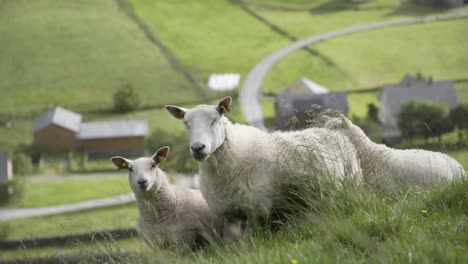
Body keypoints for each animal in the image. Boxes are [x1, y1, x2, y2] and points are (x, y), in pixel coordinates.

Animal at [165, 98, 362, 228]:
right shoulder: (231, 214)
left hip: (350, 184)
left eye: (214, 120)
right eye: (186, 123)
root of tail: (332, 132)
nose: (198, 147)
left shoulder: (257, 208)